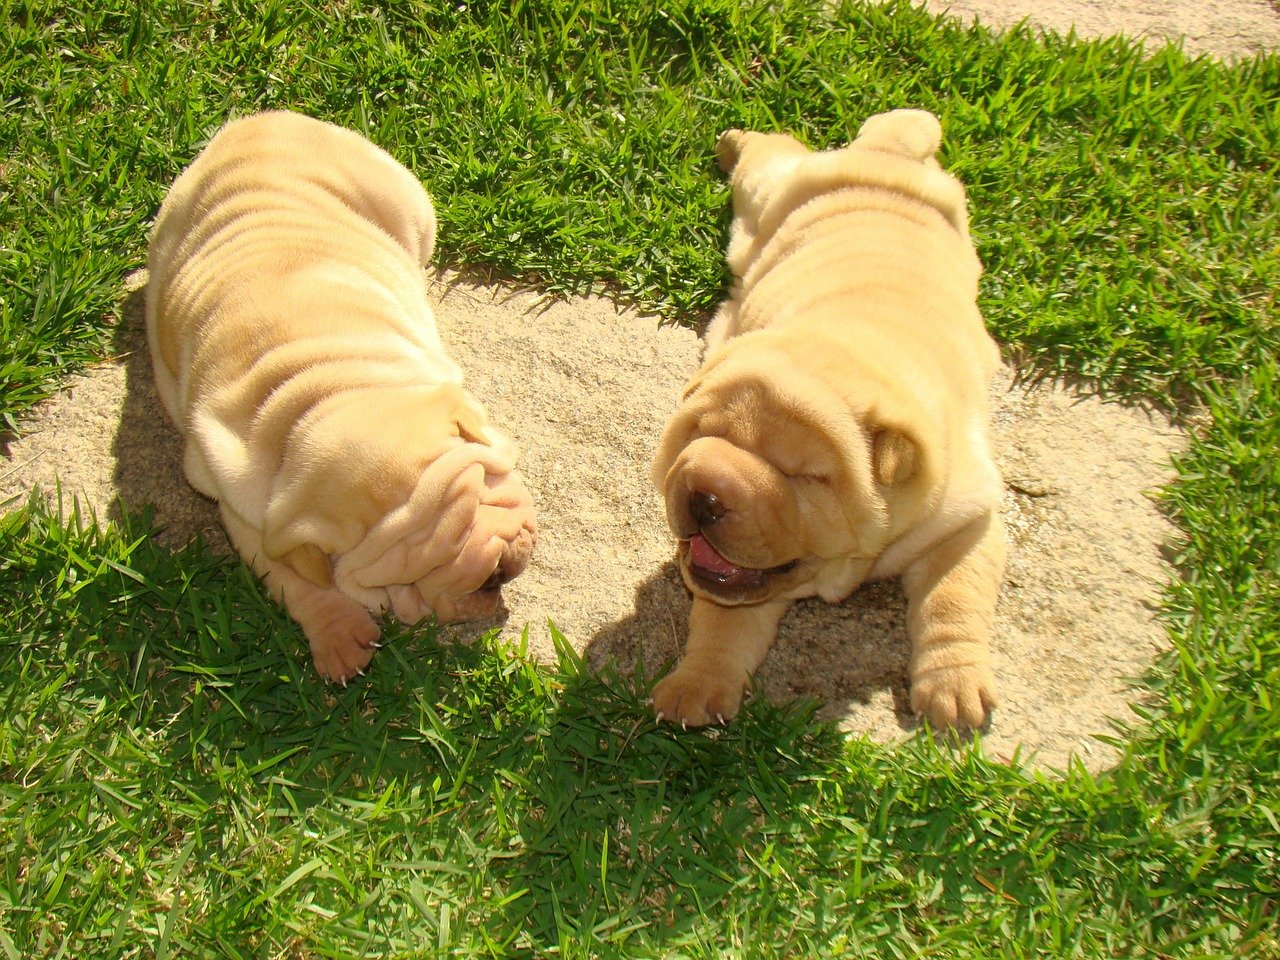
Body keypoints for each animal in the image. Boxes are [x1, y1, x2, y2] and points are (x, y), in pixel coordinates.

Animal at [147, 110, 537, 686]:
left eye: (483, 487)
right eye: (400, 582)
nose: (493, 575)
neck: (317, 396)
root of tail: (260, 120)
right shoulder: (246, 511)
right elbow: (293, 579)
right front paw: (338, 636)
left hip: (403, 199)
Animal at [655, 108, 1003, 732]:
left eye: (806, 477)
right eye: (702, 433)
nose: (704, 495)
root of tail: (888, 158)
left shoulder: (970, 518)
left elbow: (953, 596)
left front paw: (956, 689)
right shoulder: (739, 582)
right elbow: (723, 623)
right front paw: (695, 686)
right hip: (768, 193)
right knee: (768, 154)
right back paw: (734, 139)